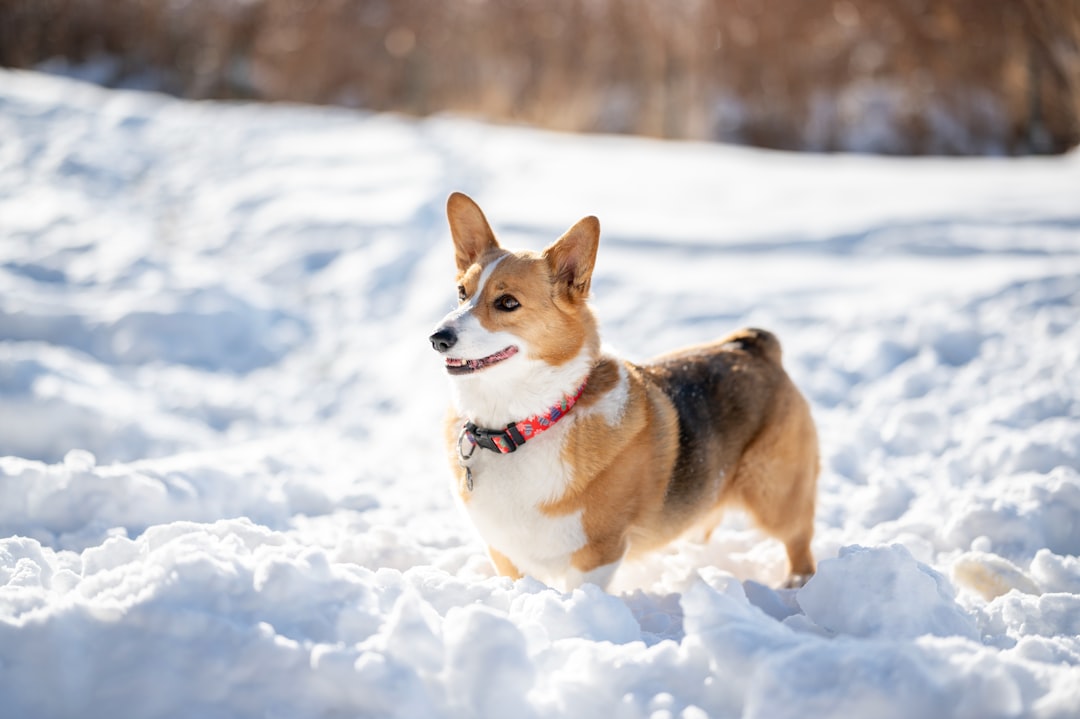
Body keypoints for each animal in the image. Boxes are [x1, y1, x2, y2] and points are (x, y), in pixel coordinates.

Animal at [429, 190, 816, 587]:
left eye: (508, 303)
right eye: (461, 293)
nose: (437, 338)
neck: (521, 424)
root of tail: (751, 345)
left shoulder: (598, 553)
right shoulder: (504, 552)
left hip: (775, 494)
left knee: (798, 539)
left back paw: (796, 583)